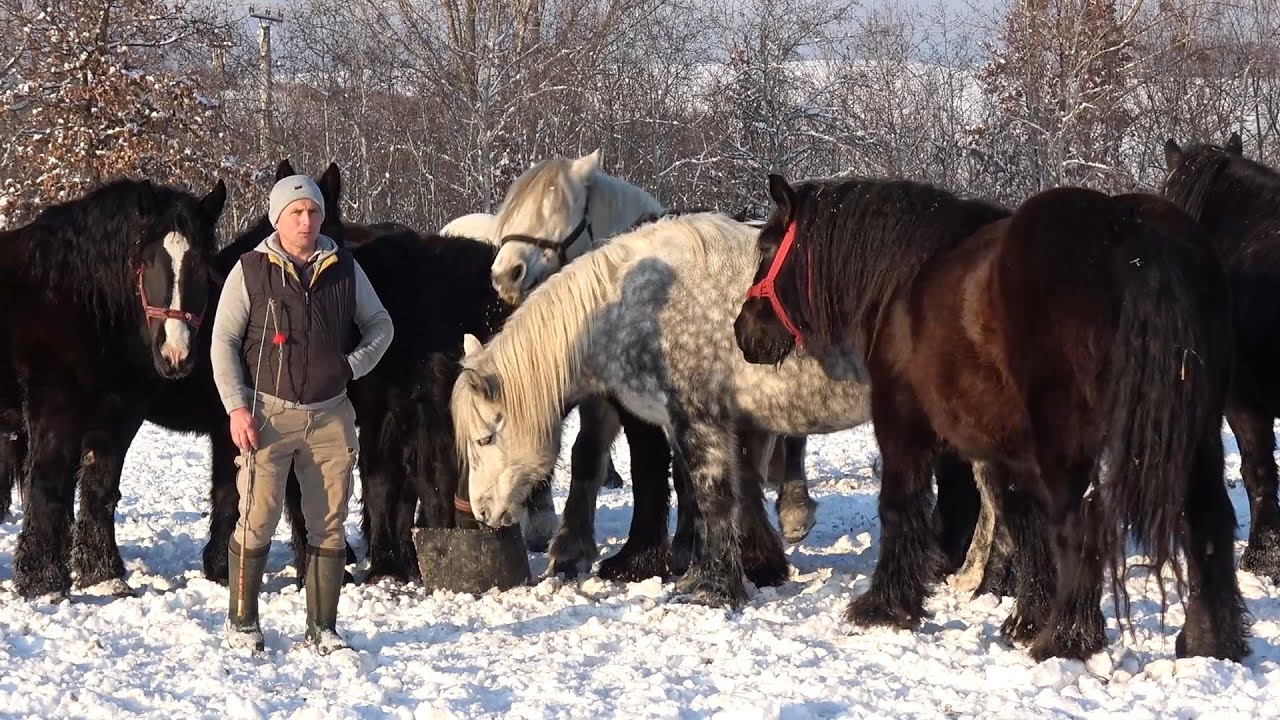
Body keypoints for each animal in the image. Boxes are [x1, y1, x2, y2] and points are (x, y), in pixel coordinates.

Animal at [0, 178, 227, 599]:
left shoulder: (117, 415)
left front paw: (102, 575)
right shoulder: (53, 407)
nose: (175, 355)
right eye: (146, 261)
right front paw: (43, 581)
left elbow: (99, 489)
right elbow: (49, 486)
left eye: (204, 266)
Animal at [451, 212, 981, 603]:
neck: (633, 305)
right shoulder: (698, 421)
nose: (482, 512)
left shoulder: (697, 419)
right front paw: (738, 565)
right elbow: (712, 489)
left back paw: (977, 580)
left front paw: (712, 587)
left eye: (485, 438)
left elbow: (711, 494)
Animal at [734, 174, 1247, 662]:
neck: (904, 281)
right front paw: (1026, 619)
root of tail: (1129, 230)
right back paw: (1209, 643)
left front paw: (884, 607)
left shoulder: (901, 428)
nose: (744, 331)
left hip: (1070, 444)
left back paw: (1067, 641)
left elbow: (900, 509)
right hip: (1197, 434)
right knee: (1208, 519)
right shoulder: (1004, 454)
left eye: (766, 249)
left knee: (1082, 526)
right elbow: (1023, 524)